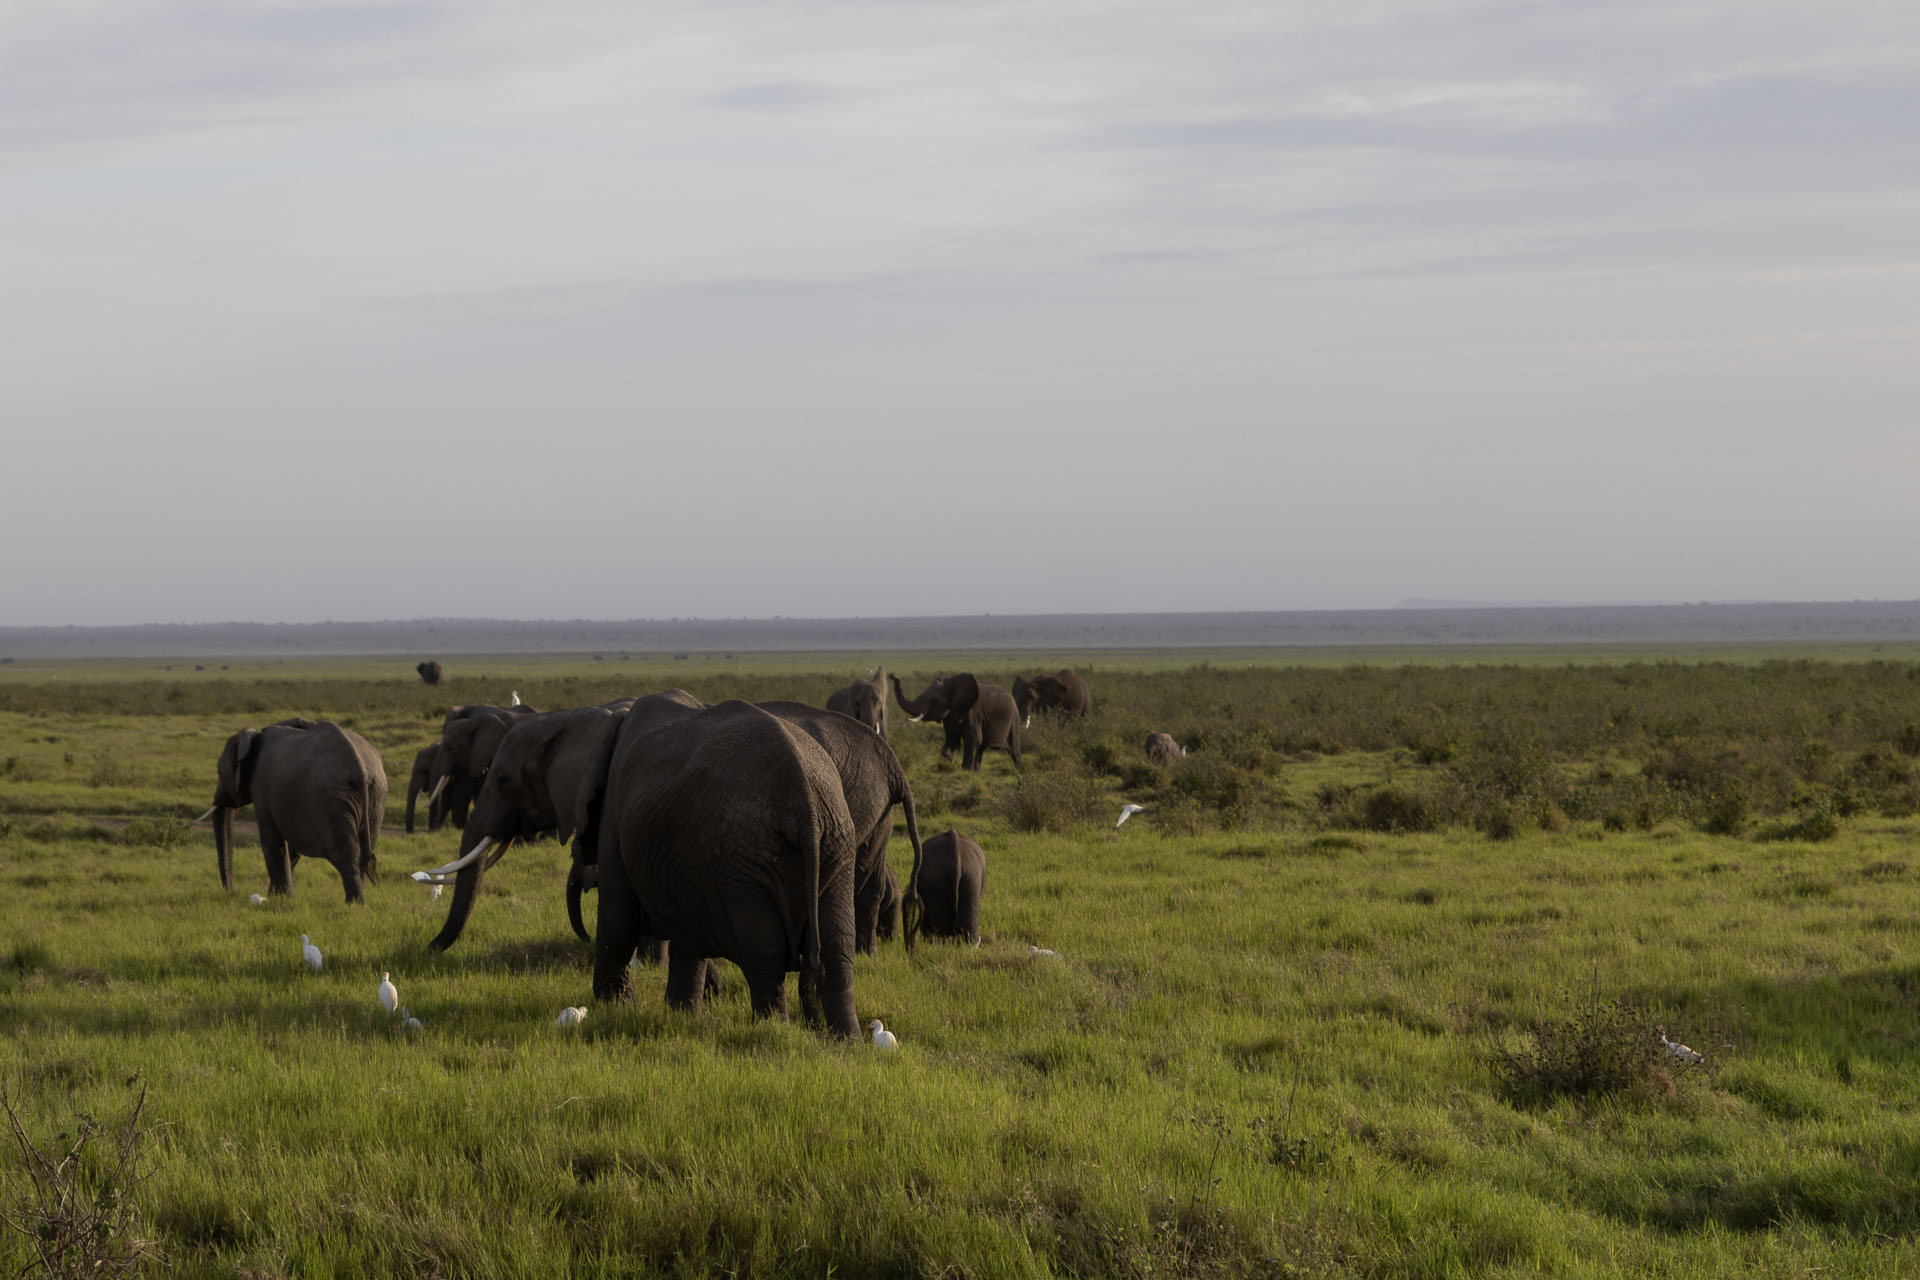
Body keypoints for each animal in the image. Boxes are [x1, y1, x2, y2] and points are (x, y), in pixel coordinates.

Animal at [207, 719, 388, 903]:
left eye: (219, 772)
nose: (230, 890)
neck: (254, 737)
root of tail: (359, 767)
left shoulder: (260, 788)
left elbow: (271, 842)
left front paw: (277, 898)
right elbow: (290, 850)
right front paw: (280, 897)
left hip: (332, 798)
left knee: (345, 852)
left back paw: (354, 904)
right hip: (375, 795)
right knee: (365, 850)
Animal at [585, 700, 864, 1036]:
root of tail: (805, 802)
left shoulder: (615, 813)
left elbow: (617, 913)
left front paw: (615, 1007)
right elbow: (686, 934)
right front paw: (681, 1015)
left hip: (744, 857)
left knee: (765, 952)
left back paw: (773, 1032)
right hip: (836, 843)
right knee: (837, 948)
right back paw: (846, 1040)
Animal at [891, 673, 1023, 771]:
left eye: (934, 701)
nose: (892, 675)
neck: (951, 686)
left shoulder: (972, 714)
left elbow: (972, 740)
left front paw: (965, 771)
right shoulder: (950, 716)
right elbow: (952, 741)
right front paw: (944, 767)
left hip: (1014, 720)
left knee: (1014, 748)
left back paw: (1020, 770)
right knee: (981, 748)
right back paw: (977, 771)